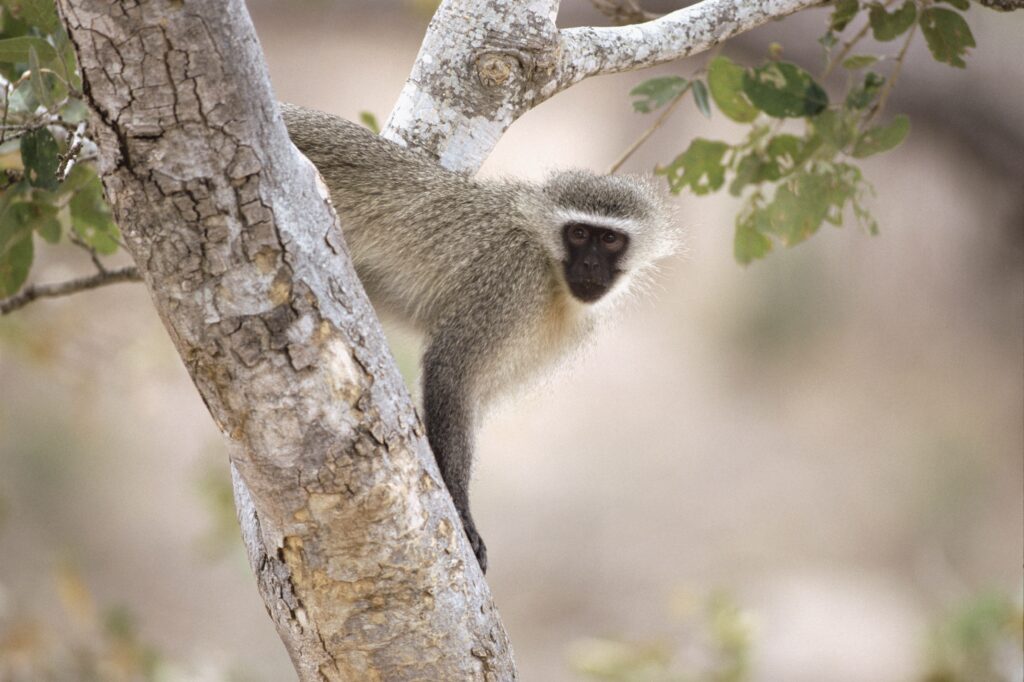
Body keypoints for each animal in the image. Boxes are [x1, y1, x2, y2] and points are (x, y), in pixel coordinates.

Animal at [280, 103, 678, 573]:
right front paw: (461, 510)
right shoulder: (511, 279)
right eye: (579, 234)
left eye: (610, 239)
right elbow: (451, 373)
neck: (549, 268)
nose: (590, 268)